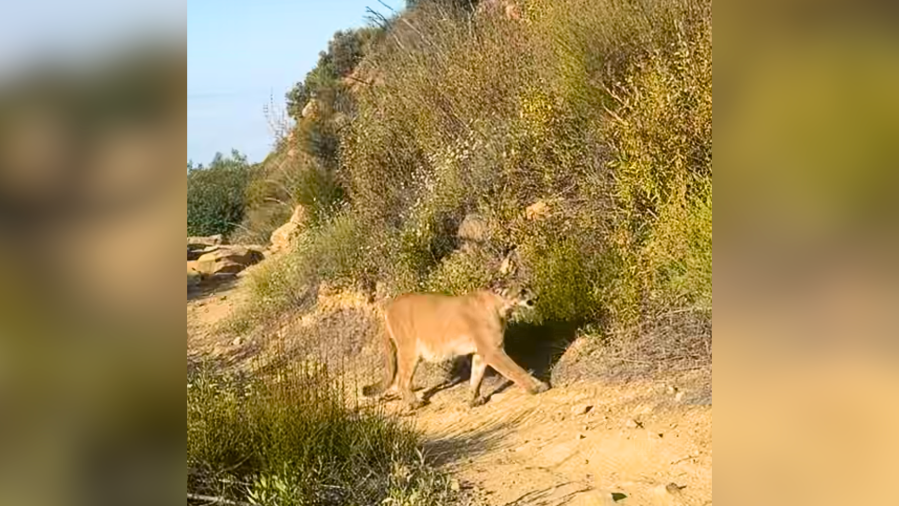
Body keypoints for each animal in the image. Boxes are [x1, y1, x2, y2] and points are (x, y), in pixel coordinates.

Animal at [362, 285, 550, 409]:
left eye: (528, 286)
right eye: (522, 290)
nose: (537, 296)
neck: (500, 307)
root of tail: (389, 306)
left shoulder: (481, 353)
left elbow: (476, 377)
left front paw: (473, 400)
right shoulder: (492, 350)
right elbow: (515, 370)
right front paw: (537, 387)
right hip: (410, 350)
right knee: (402, 380)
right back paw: (415, 403)